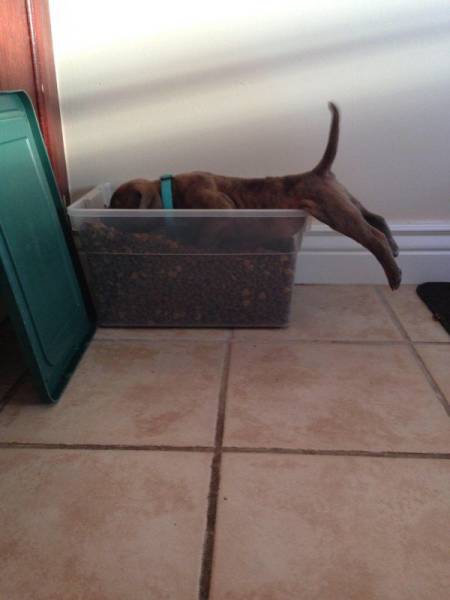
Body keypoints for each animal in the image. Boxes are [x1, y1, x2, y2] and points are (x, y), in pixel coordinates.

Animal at [110, 103, 401, 289]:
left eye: (116, 205)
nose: (104, 216)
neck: (171, 192)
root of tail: (318, 171)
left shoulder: (219, 208)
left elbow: (205, 237)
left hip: (336, 212)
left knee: (372, 236)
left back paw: (394, 275)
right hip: (347, 201)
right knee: (376, 217)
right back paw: (396, 247)